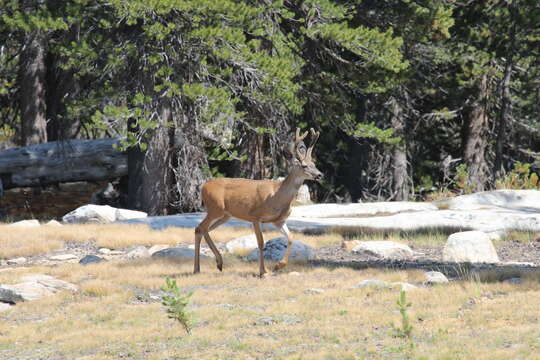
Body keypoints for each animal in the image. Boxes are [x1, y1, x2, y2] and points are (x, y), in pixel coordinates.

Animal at [193, 128, 322, 278]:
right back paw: (198, 268)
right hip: (215, 208)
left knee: (204, 229)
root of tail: (203, 187)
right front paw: (263, 271)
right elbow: (260, 242)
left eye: (314, 164)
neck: (277, 196)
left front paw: (279, 266)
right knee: (199, 228)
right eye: (304, 165)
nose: (320, 175)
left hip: (225, 215)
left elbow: (291, 237)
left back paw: (216, 264)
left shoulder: (278, 220)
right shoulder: (255, 215)